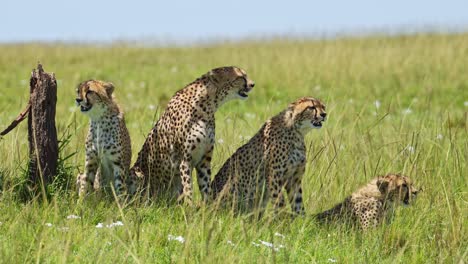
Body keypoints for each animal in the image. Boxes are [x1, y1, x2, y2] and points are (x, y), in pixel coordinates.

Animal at [130, 65, 254, 202]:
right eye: (240, 77)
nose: (252, 84)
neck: (207, 105)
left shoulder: (204, 161)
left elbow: (206, 187)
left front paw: (207, 207)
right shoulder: (185, 161)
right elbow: (188, 189)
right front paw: (190, 207)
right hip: (137, 174)